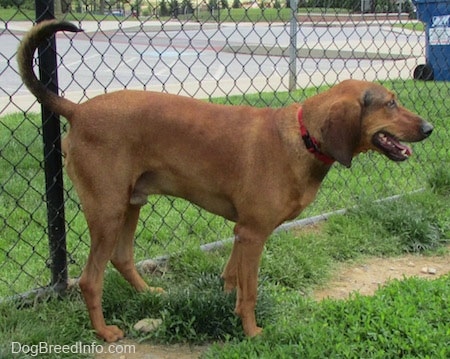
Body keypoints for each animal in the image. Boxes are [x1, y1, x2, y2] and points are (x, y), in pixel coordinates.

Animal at [17, 20, 432, 344]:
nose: (429, 128)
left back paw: (150, 294)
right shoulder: (253, 233)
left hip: (130, 203)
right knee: (90, 280)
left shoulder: (241, 232)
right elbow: (250, 292)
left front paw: (229, 305)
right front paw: (252, 332)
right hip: (107, 211)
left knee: (122, 257)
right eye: (390, 103)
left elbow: (232, 277)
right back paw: (104, 332)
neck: (302, 137)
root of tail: (77, 110)